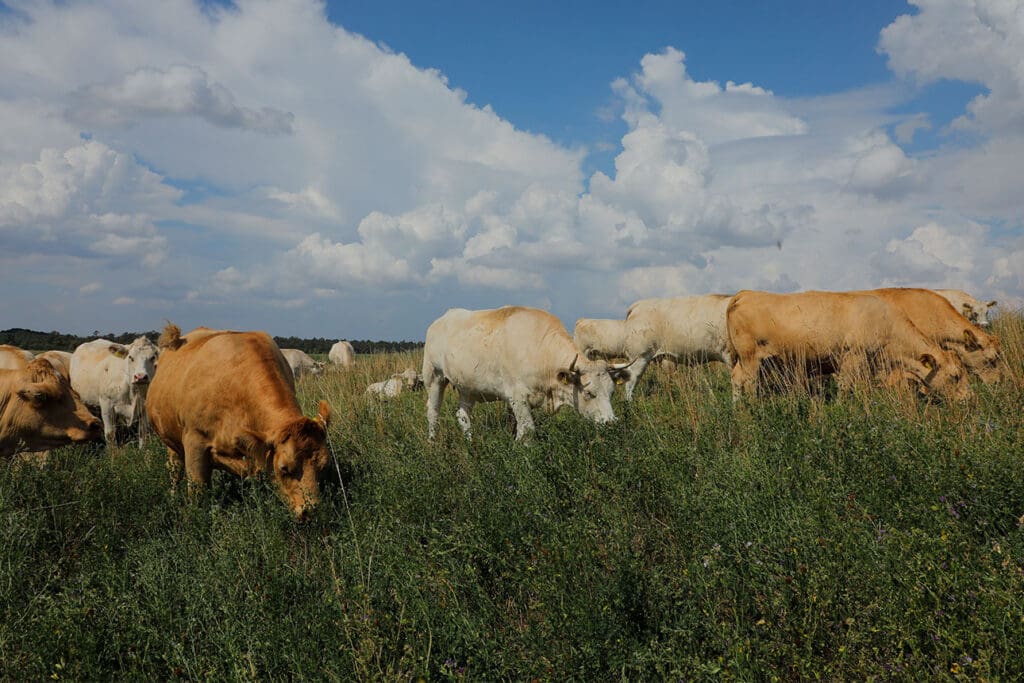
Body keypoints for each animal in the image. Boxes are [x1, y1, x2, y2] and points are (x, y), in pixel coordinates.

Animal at [146, 325, 331, 518]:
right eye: (284, 468)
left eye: (324, 466)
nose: (311, 511)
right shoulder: (194, 442)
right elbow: (198, 493)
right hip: (171, 443)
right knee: (174, 470)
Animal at [421, 307, 630, 440]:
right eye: (588, 393)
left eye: (611, 392)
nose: (610, 422)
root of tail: (442, 319)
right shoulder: (517, 397)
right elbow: (527, 430)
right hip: (434, 377)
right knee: (433, 413)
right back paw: (432, 442)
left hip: (467, 387)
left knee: (463, 416)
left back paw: (470, 443)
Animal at [724, 290, 970, 403]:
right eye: (955, 376)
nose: (968, 398)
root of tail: (745, 294)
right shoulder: (853, 356)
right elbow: (845, 387)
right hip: (750, 357)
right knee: (748, 382)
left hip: (751, 359)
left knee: (736, 379)